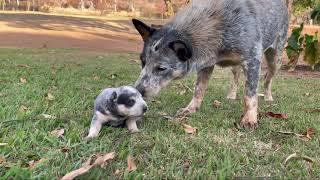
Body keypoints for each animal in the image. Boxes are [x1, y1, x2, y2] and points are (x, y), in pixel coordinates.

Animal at [131, 0, 288, 128]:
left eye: (161, 68)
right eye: (142, 61)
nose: (138, 91)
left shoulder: (252, 60)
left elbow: (250, 95)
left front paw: (249, 119)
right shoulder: (206, 64)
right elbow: (198, 89)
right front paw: (190, 109)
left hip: (275, 59)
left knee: (267, 78)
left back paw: (268, 97)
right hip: (235, 65)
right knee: (236, 77)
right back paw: (232, 95)